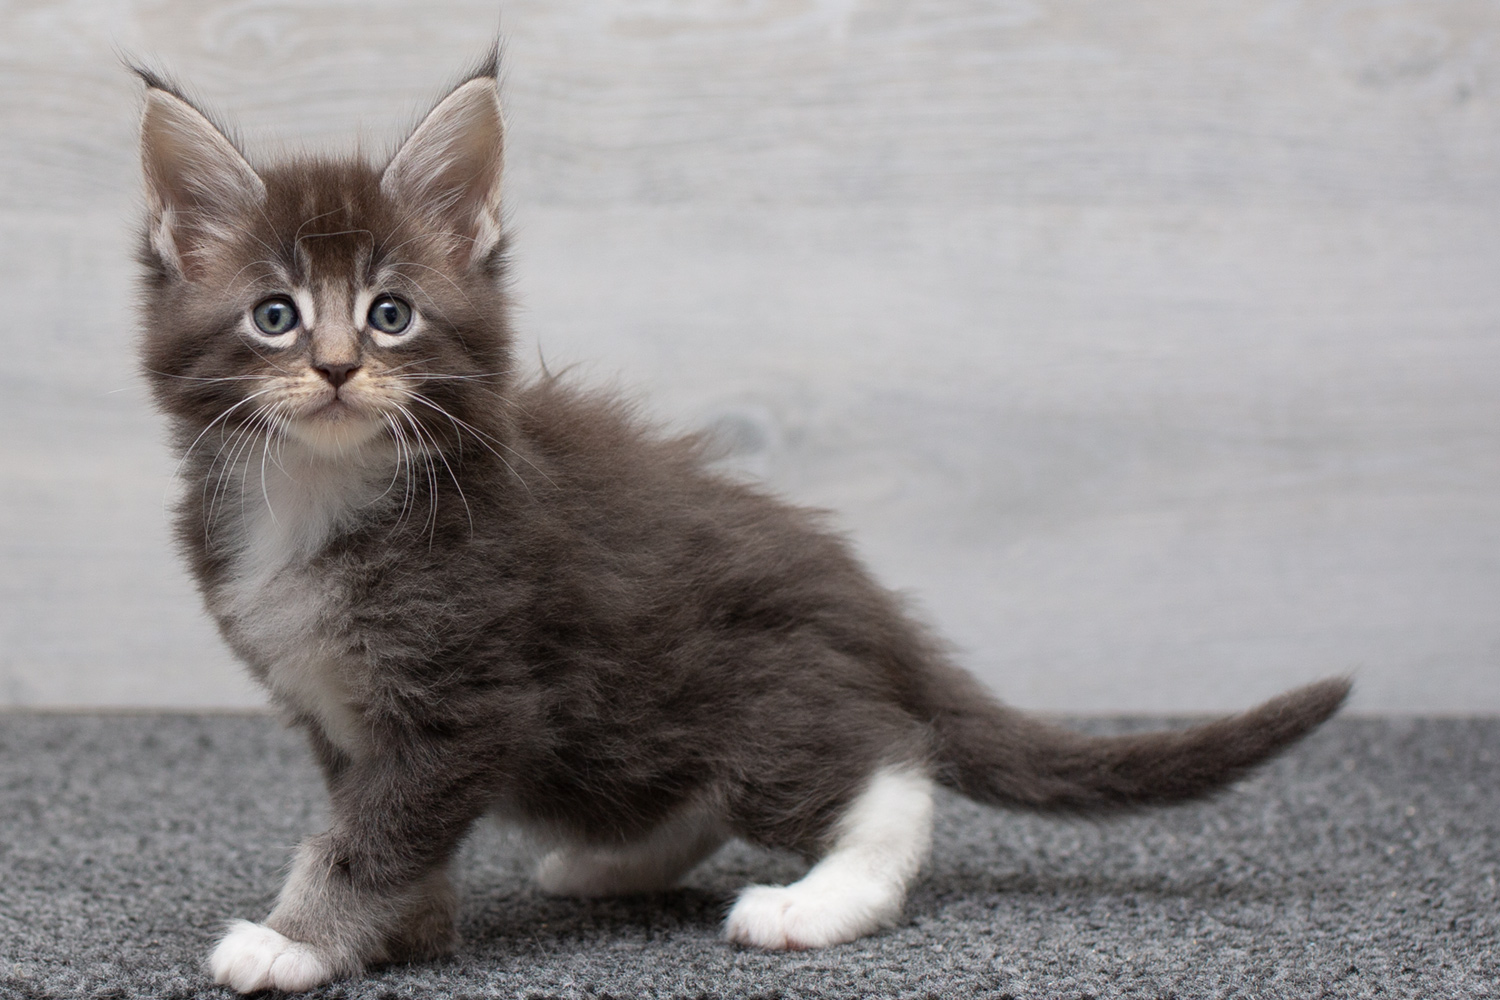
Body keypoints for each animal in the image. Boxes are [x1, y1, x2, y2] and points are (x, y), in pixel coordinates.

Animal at [134, 55, 1350, 994]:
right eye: (277, 316)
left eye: (391, 314)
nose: (337, 369)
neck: (318, 490)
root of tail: (855, 592)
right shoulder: (336, 709)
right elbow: (370, 816)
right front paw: (404, 923)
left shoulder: (465, 693)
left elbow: (373, 832)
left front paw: (295, 941)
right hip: (626, 716)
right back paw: (612, 865)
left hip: (754, 682)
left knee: (890, 769)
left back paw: (815, 900)